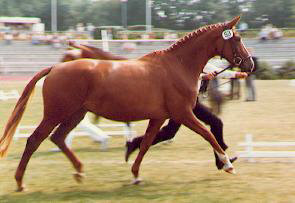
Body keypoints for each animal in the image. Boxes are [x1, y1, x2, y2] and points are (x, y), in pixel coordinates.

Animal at [0, 16, 254, 192]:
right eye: (238, 39)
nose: (250, 64)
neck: (177, 66)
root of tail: (55, 68)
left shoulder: (159, 117)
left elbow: (146, 143)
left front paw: (135, 174)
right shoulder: (183, 114)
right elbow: (208, 134)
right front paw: (227, 163)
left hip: (75, 114)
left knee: (58, 138)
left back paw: (79, 171)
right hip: (56, 114)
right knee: (34, 140)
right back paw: (20, 182)